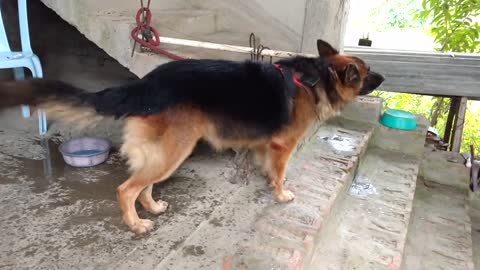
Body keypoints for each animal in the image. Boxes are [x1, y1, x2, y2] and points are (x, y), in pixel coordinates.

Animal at [0, 40, 384, 234]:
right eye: (366, 72)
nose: (384, 77)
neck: (317, 77)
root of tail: (147, 83)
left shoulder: (266, 145)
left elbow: (266, 167)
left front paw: (265, 182)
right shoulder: (282, 146)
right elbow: (281, 173)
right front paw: (281, 193)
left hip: (167, 151)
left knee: (144, 185)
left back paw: (152, 207)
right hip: (176, 150)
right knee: (127, 189)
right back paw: (136, 224)